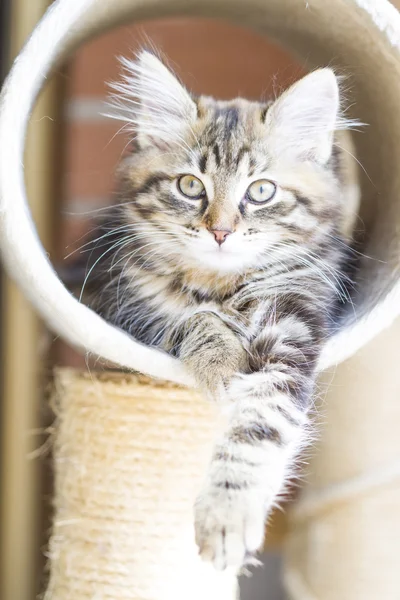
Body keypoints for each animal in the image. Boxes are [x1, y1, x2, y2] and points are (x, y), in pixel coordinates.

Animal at [84, 50, 360, 568]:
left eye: (262, 191)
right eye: (191, 185)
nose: (220, 232)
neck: (221, 284)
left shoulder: (293, 321)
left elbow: (259, 424)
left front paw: (228, 513)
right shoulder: (120, 301)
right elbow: (192, 318)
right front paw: (222, 362)